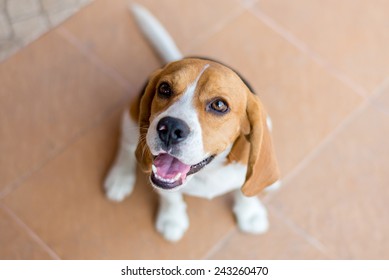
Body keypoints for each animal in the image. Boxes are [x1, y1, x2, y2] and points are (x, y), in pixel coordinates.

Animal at [103, 2, 278, 243]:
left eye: (219, 105)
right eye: (164, 88)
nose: (169, 128)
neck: (206, 173)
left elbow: (246, 192)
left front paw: (250, 214)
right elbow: (170, 197)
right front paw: (172, 220)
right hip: (131, 117)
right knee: (127, 146)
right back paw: (120, 177)